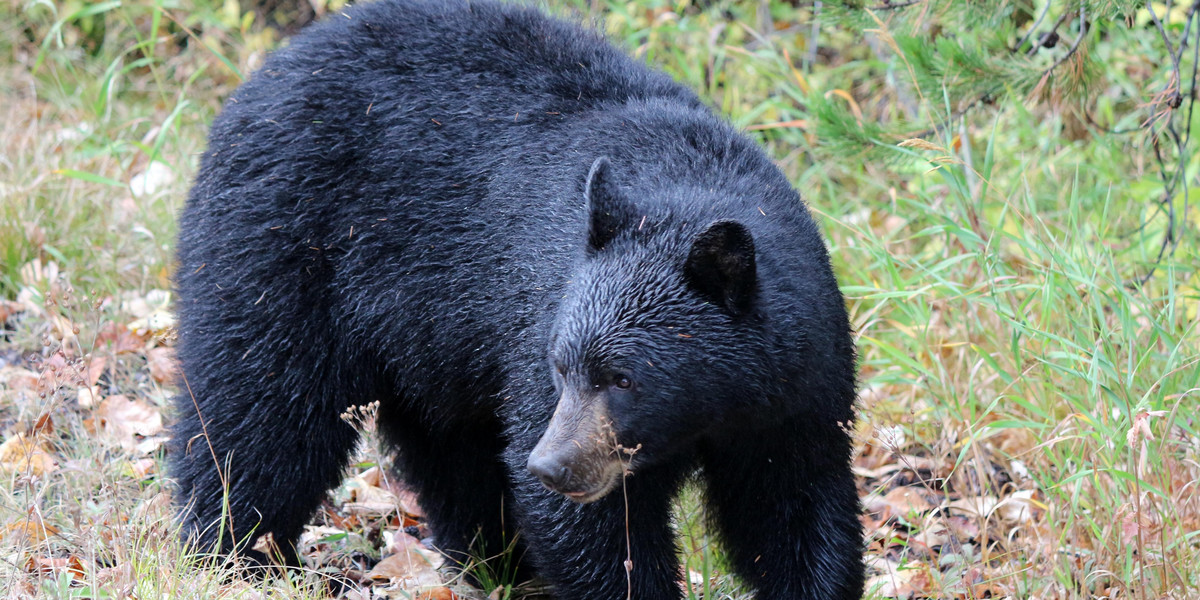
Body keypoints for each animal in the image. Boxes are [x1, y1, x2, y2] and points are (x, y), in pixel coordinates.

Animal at [171, 1, 864, 600]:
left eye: (623, 377)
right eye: (562, 367)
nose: (552, 467)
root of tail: (268, 70)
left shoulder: (795, 390)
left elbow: (793, 503)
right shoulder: (536, 319)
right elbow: (594, 530)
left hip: (431, 343)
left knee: (454, 453)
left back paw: (497, 564)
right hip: (282, 254)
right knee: (259, 413)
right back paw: (234, 555)